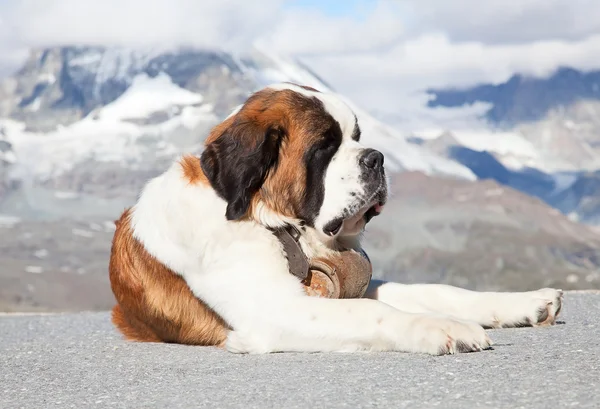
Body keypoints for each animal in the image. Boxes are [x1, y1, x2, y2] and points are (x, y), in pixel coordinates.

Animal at [110, 83, 564, 354]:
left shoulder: (357, 286)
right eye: (325, 146)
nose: (376, 158)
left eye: (357, 137)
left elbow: (439, 291)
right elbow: (373, 313)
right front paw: (442, 328)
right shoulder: (276, 310)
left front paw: (526, 302)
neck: (274, 222)